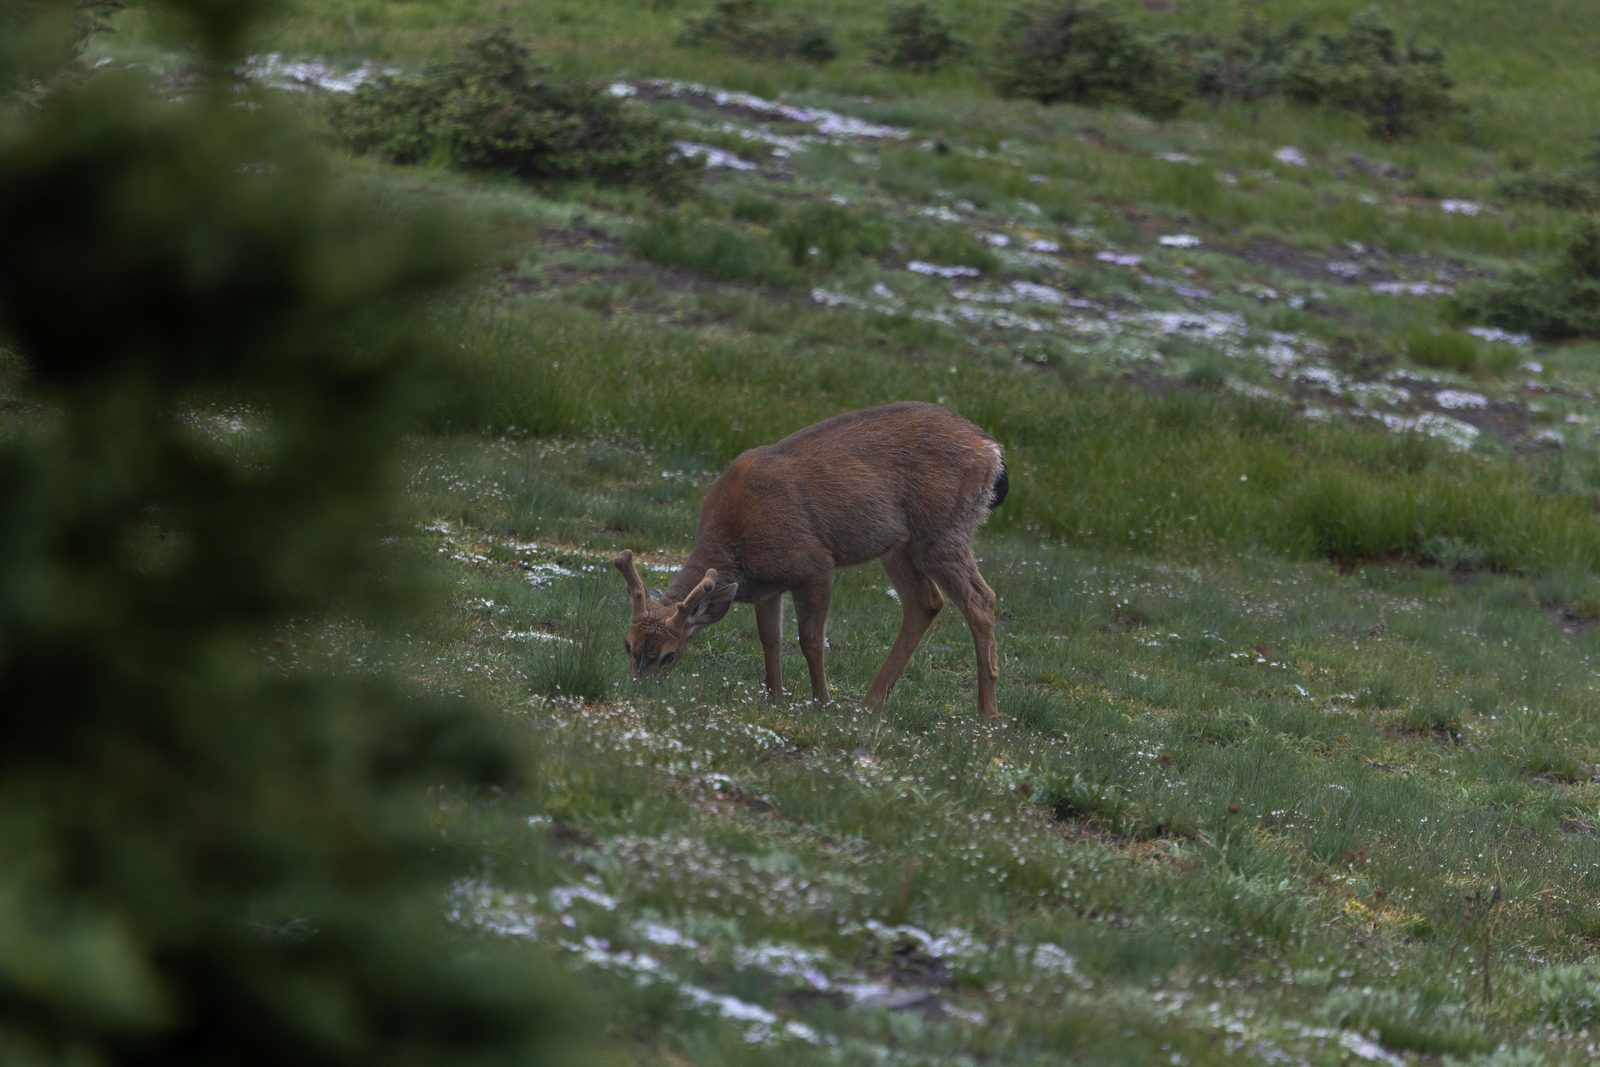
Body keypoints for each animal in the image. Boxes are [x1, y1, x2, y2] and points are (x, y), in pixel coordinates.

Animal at [613, 401, 1007, 720]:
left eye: (668, 655)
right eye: (628, 645)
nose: (638, 689)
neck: (735, 545)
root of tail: (993, 452)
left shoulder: (813, 563)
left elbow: (810, 639)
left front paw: (821, 702)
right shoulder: (768, 587)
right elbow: (769, 639)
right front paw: (774, 697)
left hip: (942, 528)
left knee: (980, 599)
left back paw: (987, 714)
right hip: (900, 544)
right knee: (925, 602)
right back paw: (870, 704)